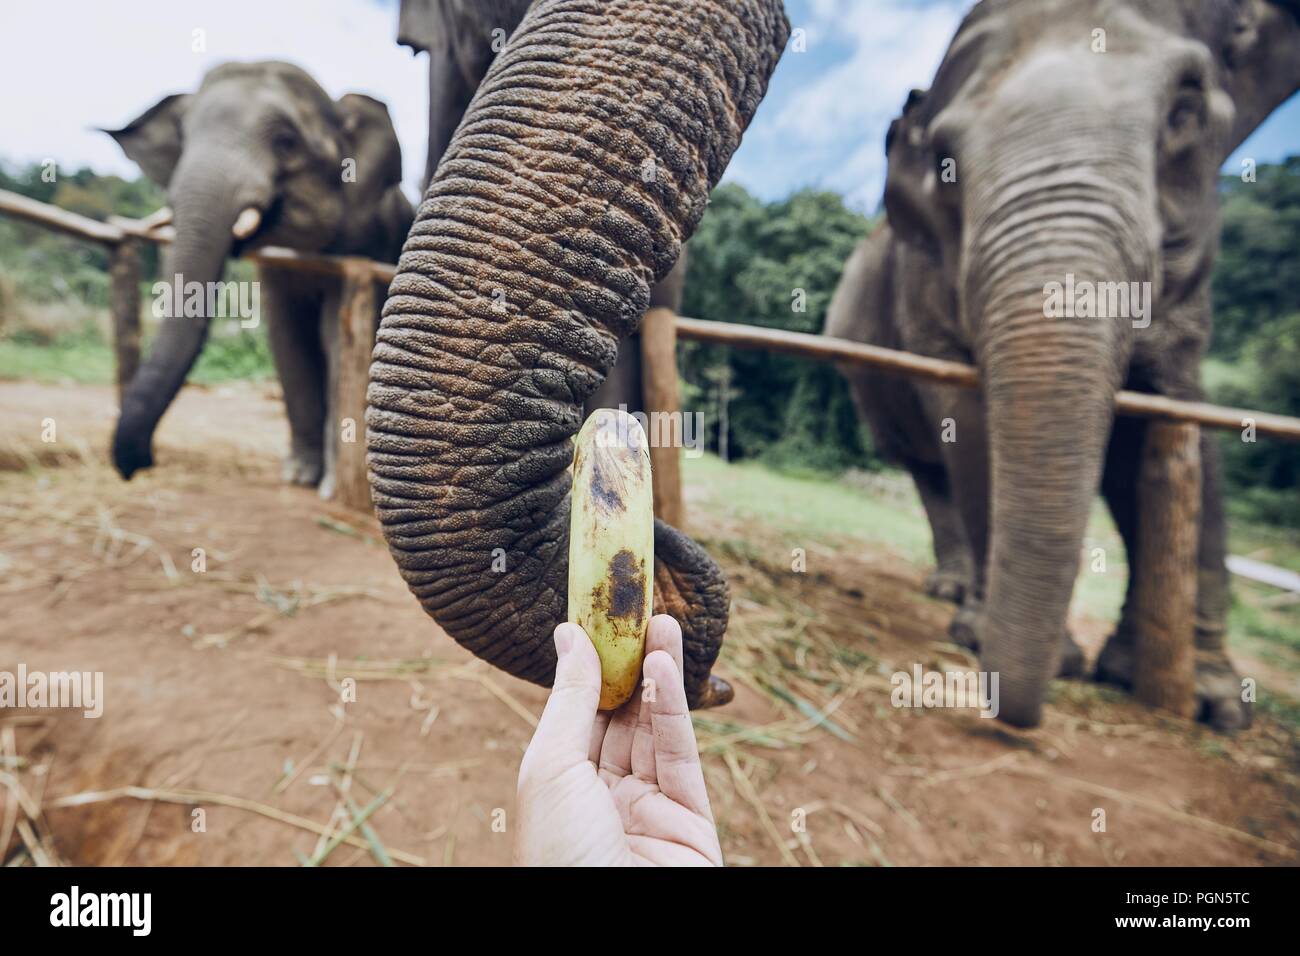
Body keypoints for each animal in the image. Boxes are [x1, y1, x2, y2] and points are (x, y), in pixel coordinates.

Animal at [104, 61, 414, 496]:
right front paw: (298, 477)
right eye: (183, 139)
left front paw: (328, 489)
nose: (142, 464)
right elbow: (285, 335)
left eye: (286, 142)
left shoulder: (365, 245)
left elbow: (333, 335)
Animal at [826, 0, 1300, 729]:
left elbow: (1176, 409)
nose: (1010, 707)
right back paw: (953, 593)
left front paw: (1212, 702)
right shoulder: (921, 284)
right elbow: (966, 416)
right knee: (926, 469)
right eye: (943, 160)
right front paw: (1015, 648)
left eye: (1186, 110)